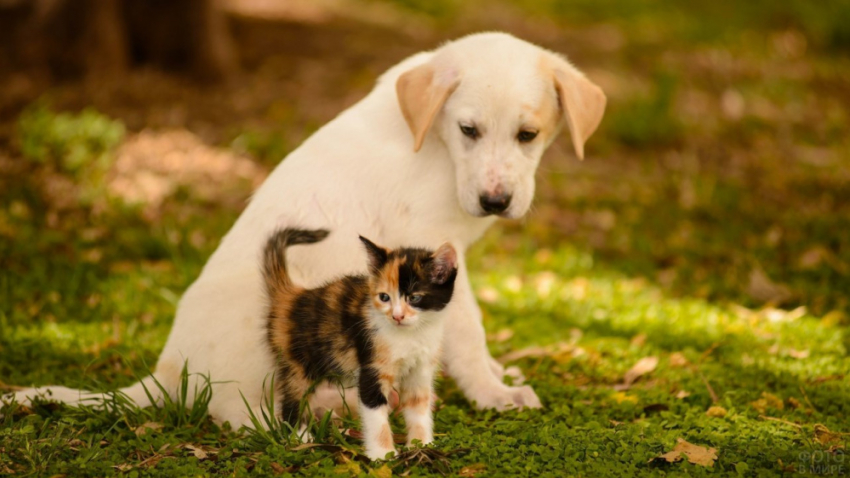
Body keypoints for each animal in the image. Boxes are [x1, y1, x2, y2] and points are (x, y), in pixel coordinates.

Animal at [6, 31, 604, 426]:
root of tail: (166, 372)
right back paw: (328, 411)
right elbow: (467, 328)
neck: (432, 143)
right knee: (241, 413)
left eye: (528, 135)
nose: (496, 201)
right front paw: (492, 393)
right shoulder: (431, 251)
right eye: (468, 129)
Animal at [264, 228, 458, 460]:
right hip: (297, 362)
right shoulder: (371, 366)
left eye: (415, 298)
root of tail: (291, 295)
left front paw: (421, 445)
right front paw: (383, 455)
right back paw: (300, 437)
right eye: (384, 297)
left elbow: (418, 407)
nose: (397, 316)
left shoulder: (420, 371)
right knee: (293, 397)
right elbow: (376, 415)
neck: (411, 334)